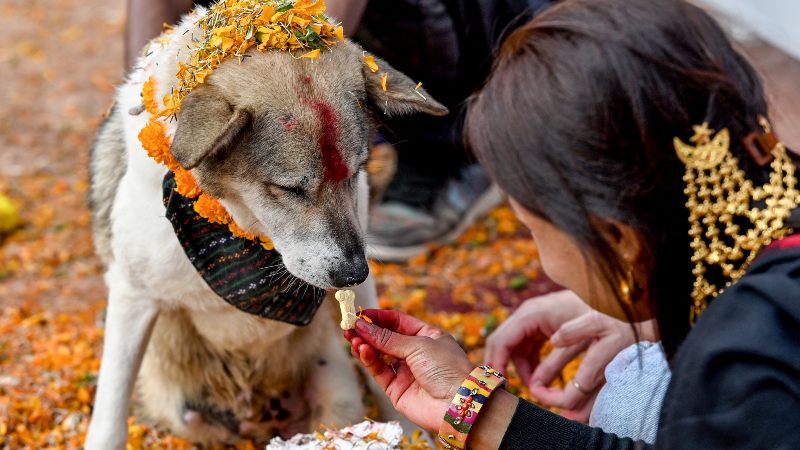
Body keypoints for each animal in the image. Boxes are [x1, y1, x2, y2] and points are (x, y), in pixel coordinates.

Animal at [88, 7, 450, 450]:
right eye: (290, 188)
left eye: (355, 172)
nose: (353, 272)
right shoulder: (132, 297)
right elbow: (110, 413)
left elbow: (384, 373)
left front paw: (414, 431)